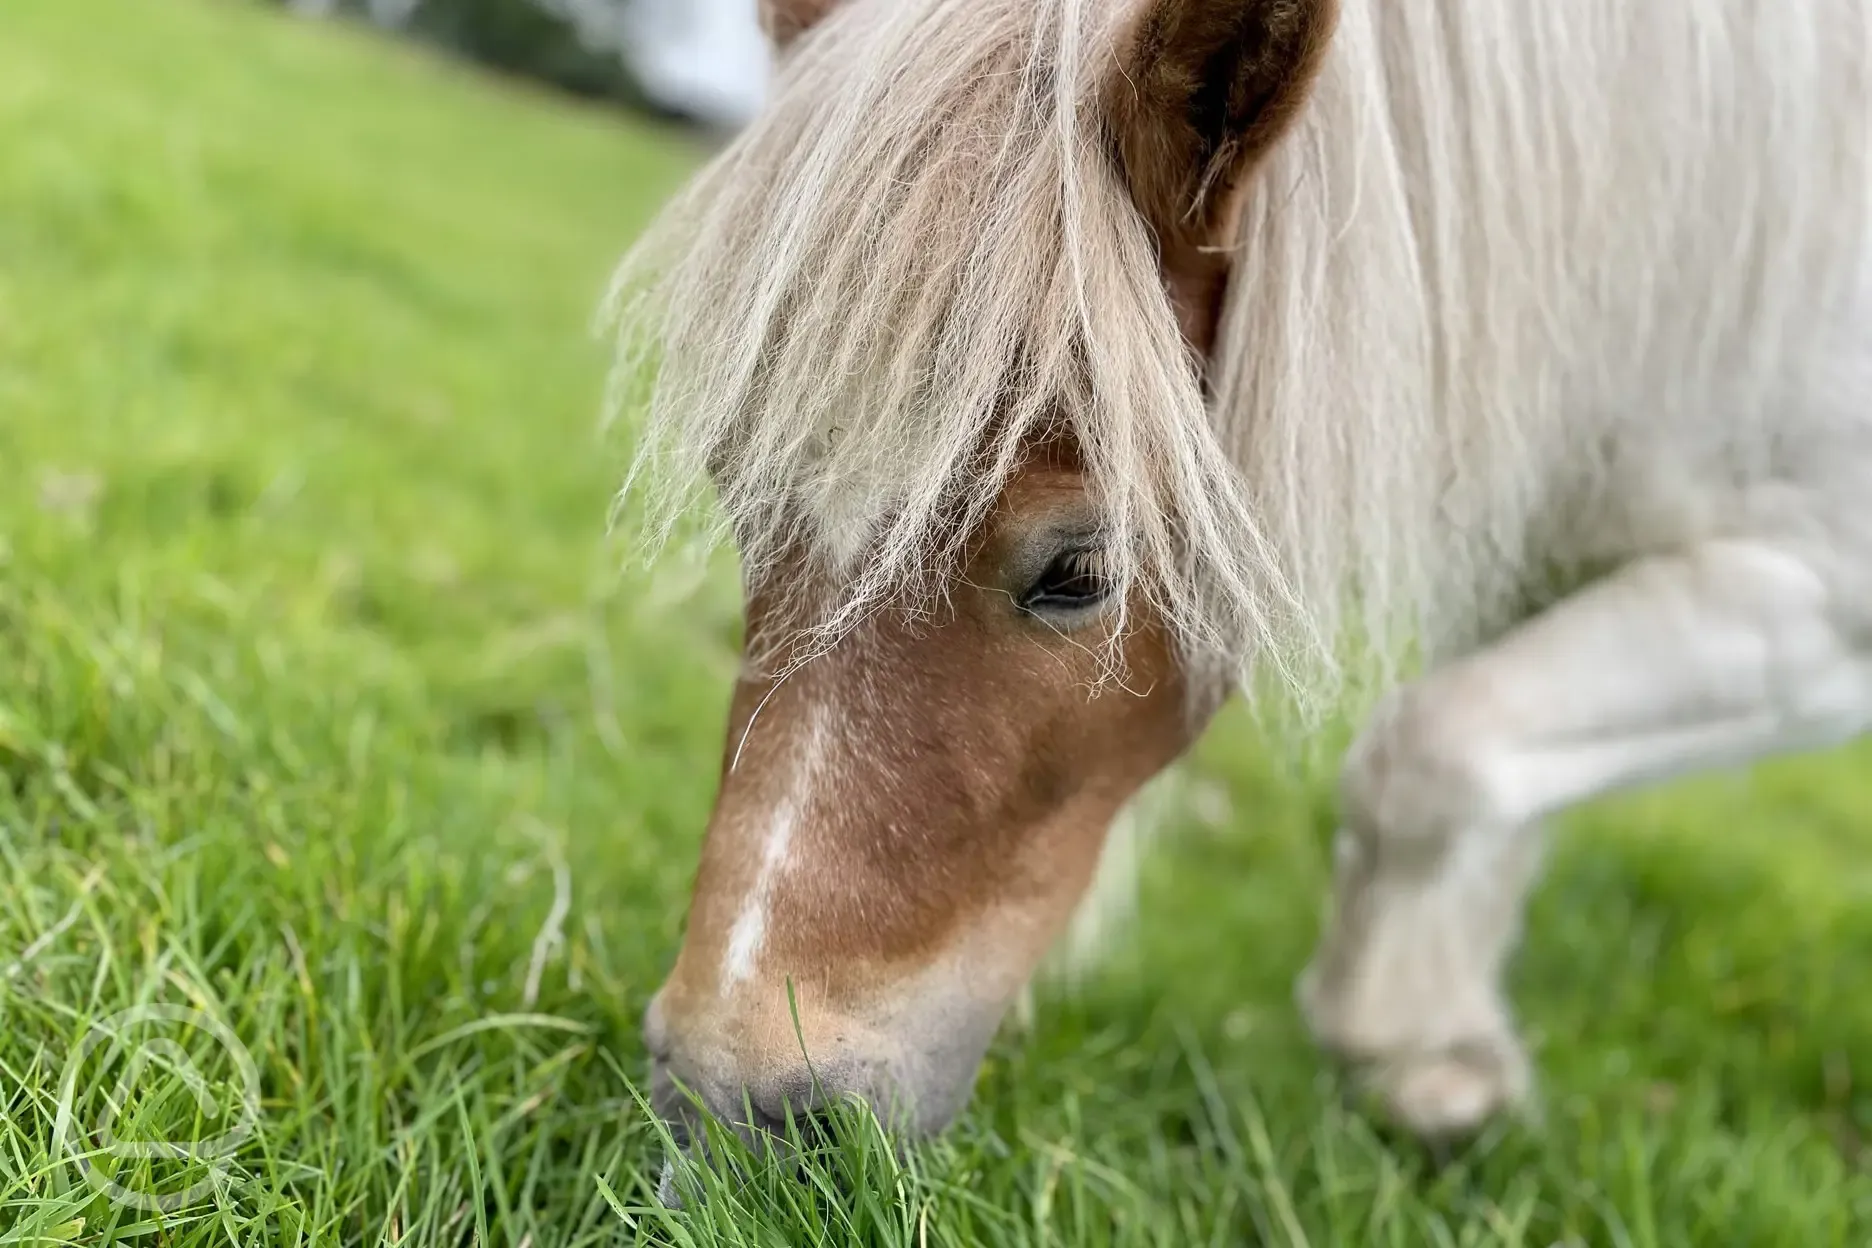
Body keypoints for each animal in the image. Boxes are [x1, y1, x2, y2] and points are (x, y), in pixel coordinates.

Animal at [610, 0, 1872, 1175]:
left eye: (1080, 571)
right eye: (738, 494)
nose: (727, 1108)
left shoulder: (1822, 602)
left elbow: (1434, 752)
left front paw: (1410, 1054)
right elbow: (1501, 795)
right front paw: (1448, 1038)